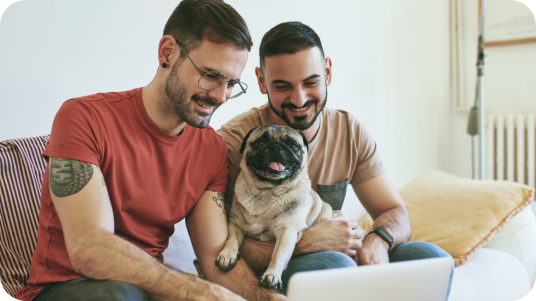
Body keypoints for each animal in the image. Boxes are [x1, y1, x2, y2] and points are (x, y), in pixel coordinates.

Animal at [216, 123, 342, 288]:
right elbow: (231, 240)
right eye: (259, 143)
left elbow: (278, 255)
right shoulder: (235, 224)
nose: (276, 147)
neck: (266, 191)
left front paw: (272, 275)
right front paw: (227, 255)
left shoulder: (286, 231)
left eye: (293, 145)